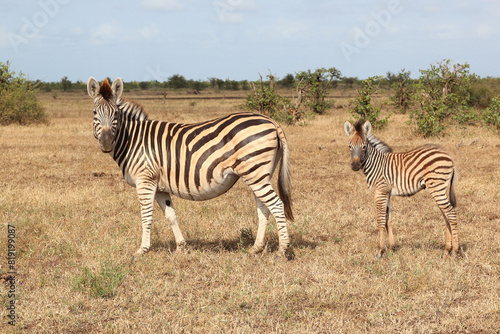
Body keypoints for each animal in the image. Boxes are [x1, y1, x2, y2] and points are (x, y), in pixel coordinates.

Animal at [88, 79, 294, 260]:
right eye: (94, 112)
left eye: (116, 114)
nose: (106, 142)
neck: (133, 140)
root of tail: (271, 121)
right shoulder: (160, 186)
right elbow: (171, 216)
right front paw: (181, 247)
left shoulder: (145, 181)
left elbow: (146, 216)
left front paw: (141, 250)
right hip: (259, 174)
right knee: (264, 208)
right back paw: (256, 248)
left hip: (255, 172)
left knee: (276, 205)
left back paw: (282, 251)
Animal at [344, 119, 458, 258]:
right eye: (350, 146)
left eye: (364, 147)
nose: (355, 166)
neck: (375, 165)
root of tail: (448, 155)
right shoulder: (386, 193)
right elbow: (387, 219)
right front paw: (391, 248)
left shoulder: (380, 192)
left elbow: (380, 219)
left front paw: (380, 251)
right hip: (440, 189)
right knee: (446, 215)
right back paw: (447, 249)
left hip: (437, 187)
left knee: (451, 214)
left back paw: (455, 251)